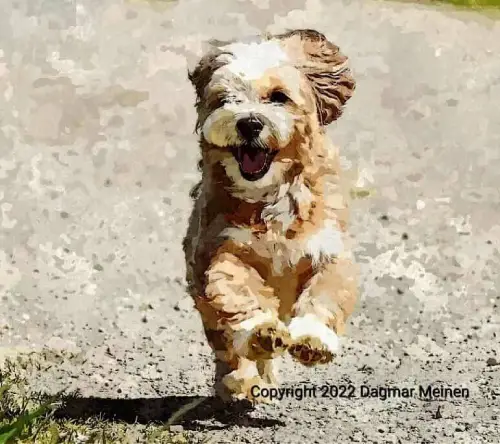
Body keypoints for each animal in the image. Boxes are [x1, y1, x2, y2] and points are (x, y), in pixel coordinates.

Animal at [184, 27, 360, 402]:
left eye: (279, 97)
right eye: (226, 99)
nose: (249, 123)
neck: (270, 194)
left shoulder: (329, 249)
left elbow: (327, 292)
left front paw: (314, 338)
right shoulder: (221, 250)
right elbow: (237, 291)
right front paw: (260, 332)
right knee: (227, 348)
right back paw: (240, 379)